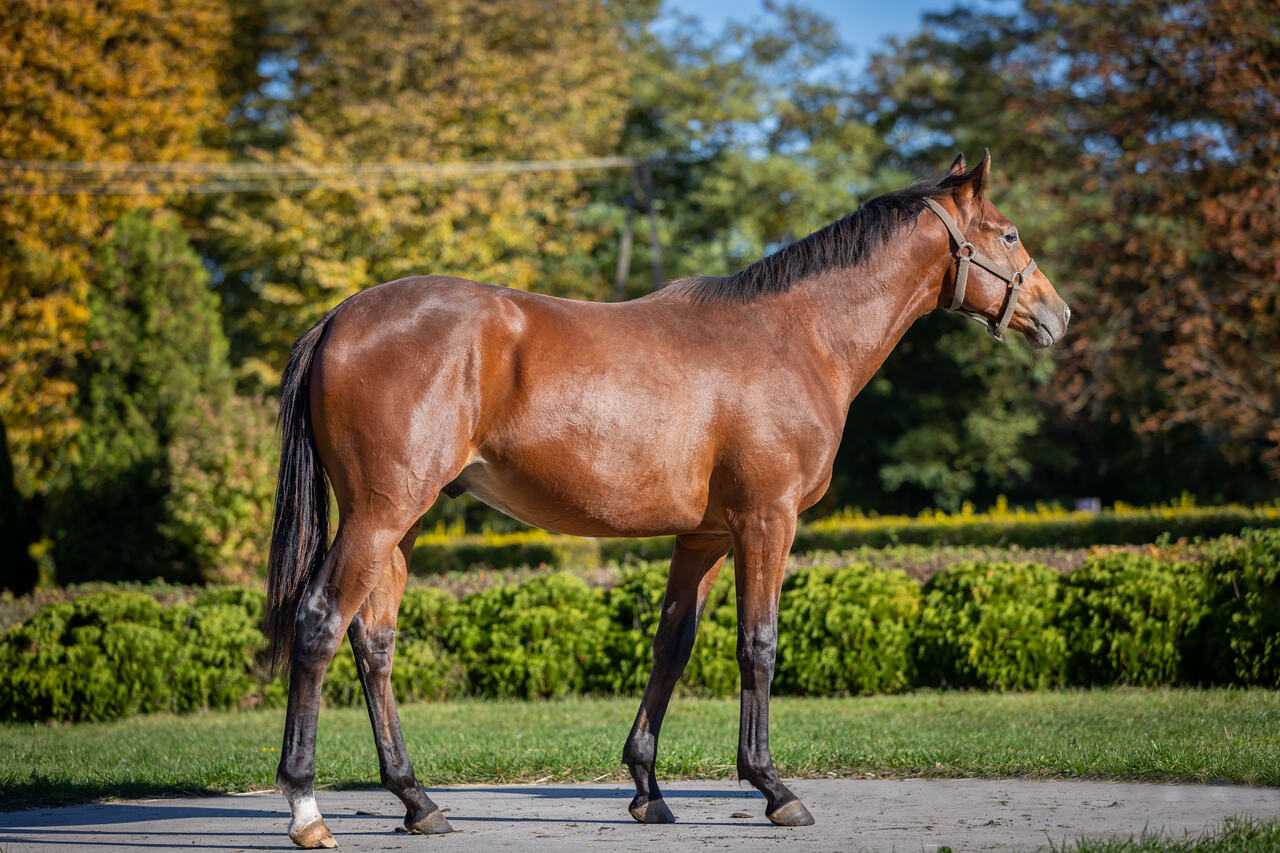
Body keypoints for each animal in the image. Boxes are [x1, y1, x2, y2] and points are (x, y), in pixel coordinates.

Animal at [265, 150, 1070, 848]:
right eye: (1008, 232)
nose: (1057, 315)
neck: (797, 335)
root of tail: (339, 318)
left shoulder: (706, 536)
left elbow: (672, 647)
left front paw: (648, 789)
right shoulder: (766, 521)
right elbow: (758, 644)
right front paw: (773, 787)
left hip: (399, 525)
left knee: (374, 642)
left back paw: (417, 800)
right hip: (378, 516)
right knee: (320, 624)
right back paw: (307, 809)